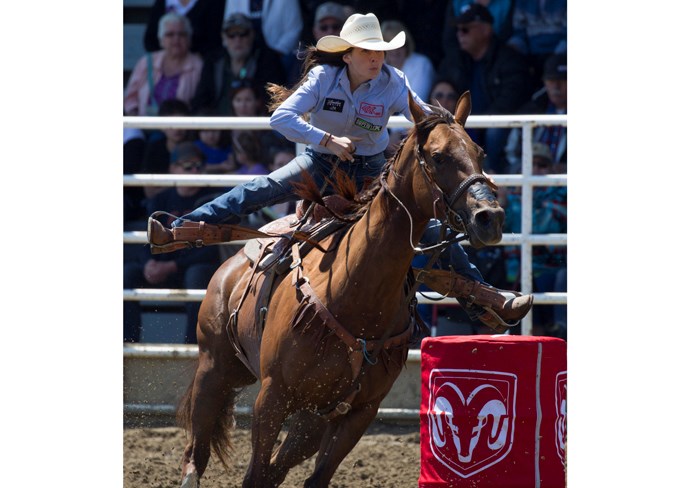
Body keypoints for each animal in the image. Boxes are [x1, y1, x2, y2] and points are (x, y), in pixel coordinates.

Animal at [177, 92, 504, 488]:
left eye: (480, 153)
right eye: (439, 156)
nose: (489, 217)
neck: (356, 292)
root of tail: (230, 265)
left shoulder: (359, 411)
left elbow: (312, 477)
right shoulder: (273, 395)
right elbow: (254, 474)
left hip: (311, 415)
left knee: (276, 466)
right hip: (216, 367)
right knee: (198, 450)